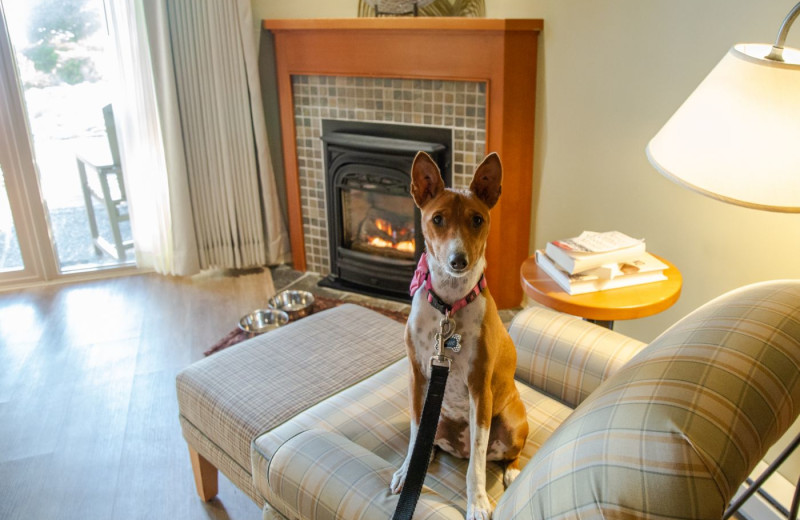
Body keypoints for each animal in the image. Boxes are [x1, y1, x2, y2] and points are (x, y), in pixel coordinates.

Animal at [390, 151, 528, 520]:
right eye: (437, 219)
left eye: (477, 219)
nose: (458, 260)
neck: (449, 305)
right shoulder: (418, 378)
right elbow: (414, 437)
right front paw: (407, 470)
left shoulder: (480, 388)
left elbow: (477, 464)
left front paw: (477, 501)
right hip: (436, 419)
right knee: (429, 444)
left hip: (510, 422)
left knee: (503, 454)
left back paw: (513, 471)